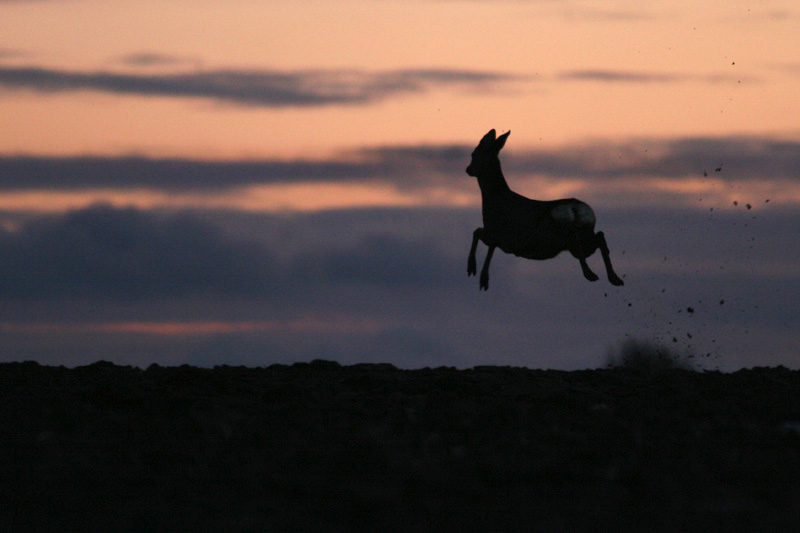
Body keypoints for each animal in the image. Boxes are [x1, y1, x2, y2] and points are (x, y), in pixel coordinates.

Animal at [468, 129, 624, 288]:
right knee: (599, 236)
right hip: (582, 237)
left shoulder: (499, 235)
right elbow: (479, 235)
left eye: (474, 154)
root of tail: (575, 208)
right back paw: (614, 278)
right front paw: (478, 274)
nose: (468, 170)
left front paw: (477, 274)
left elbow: (479, 235)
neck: (494, 198)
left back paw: (591, 274)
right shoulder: (500, 238)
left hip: (561, 234)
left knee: (580, 238)